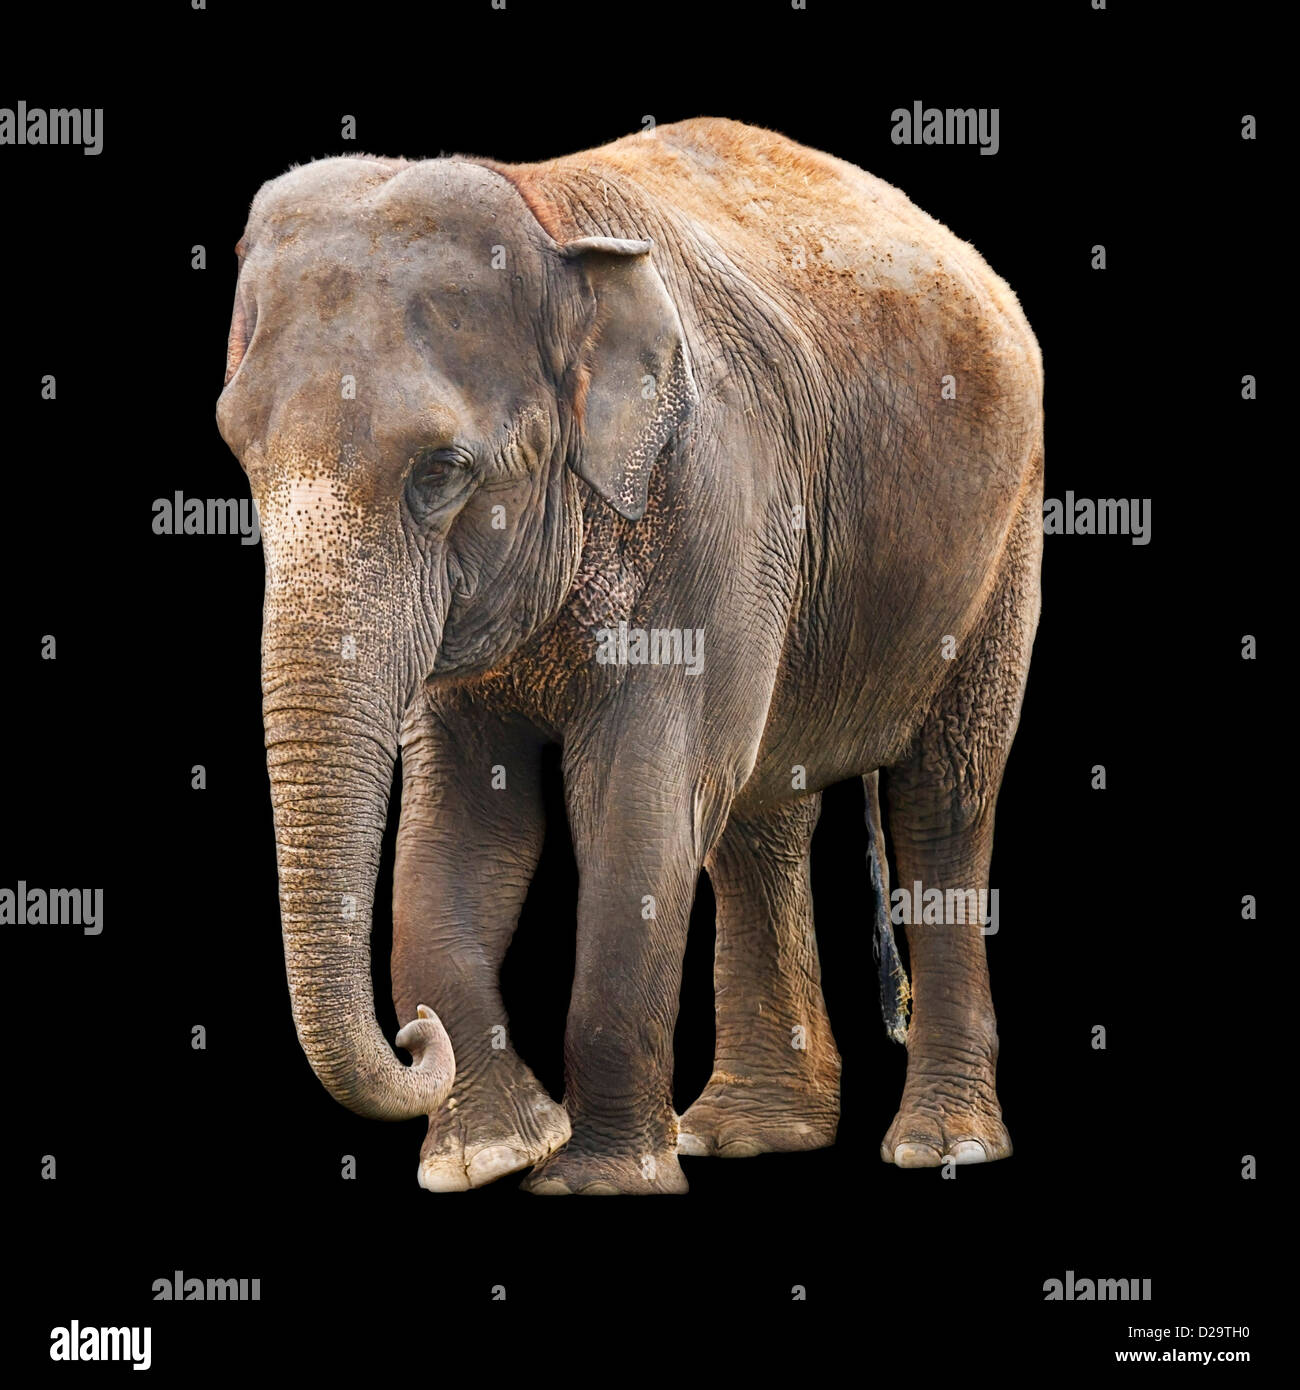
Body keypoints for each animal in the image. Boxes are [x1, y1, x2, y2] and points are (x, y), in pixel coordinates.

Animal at [216, 117, 1043, 1194]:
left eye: (442, 472)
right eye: (242, 458)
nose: (413, 1036)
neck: (545, 213)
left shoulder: (716, 496)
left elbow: (641, 794)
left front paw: (592, 1180)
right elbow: (463, 816)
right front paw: (488, 1157)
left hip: (1002, 540)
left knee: (941, 793)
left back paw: (942, 1145)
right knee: (760, 807)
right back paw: (743, 1135)